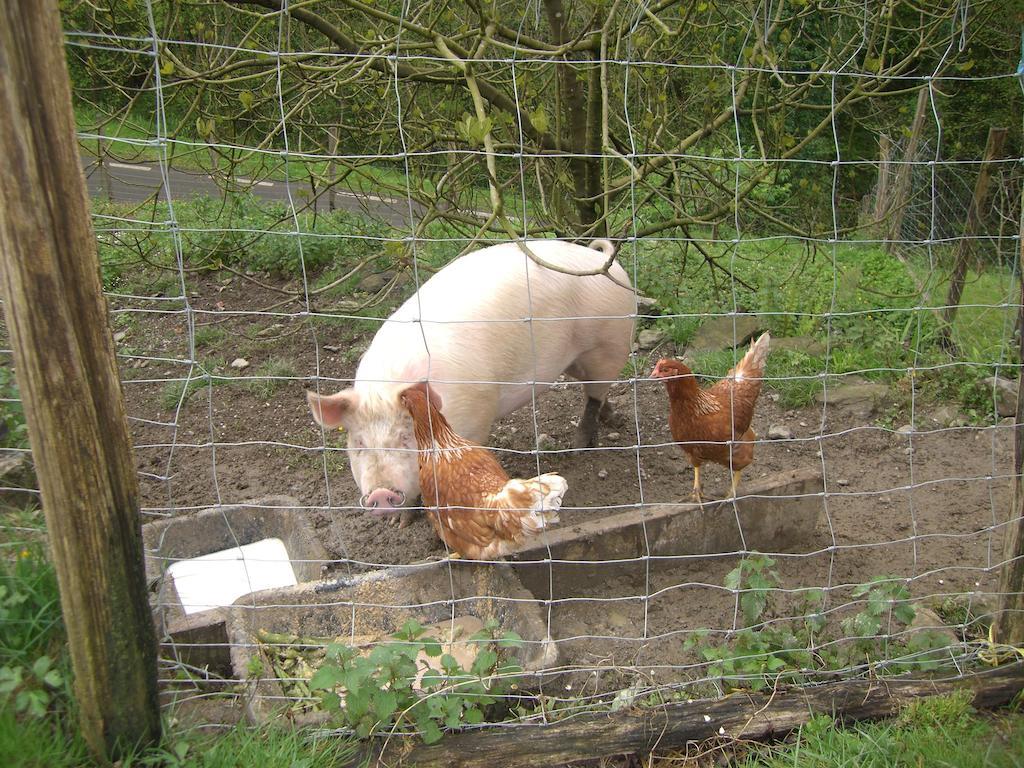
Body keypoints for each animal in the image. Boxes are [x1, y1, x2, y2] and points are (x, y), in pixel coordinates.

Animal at [307, 240, 634, 528]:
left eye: (406, 437)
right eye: (359, 443)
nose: (381, 493)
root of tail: (602, 259)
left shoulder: (475, 418)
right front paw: (399, 525)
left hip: (608, 344)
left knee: (594, 394)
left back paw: (579, 447)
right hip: (575, 362)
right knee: (594, 390)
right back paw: (614, 420)